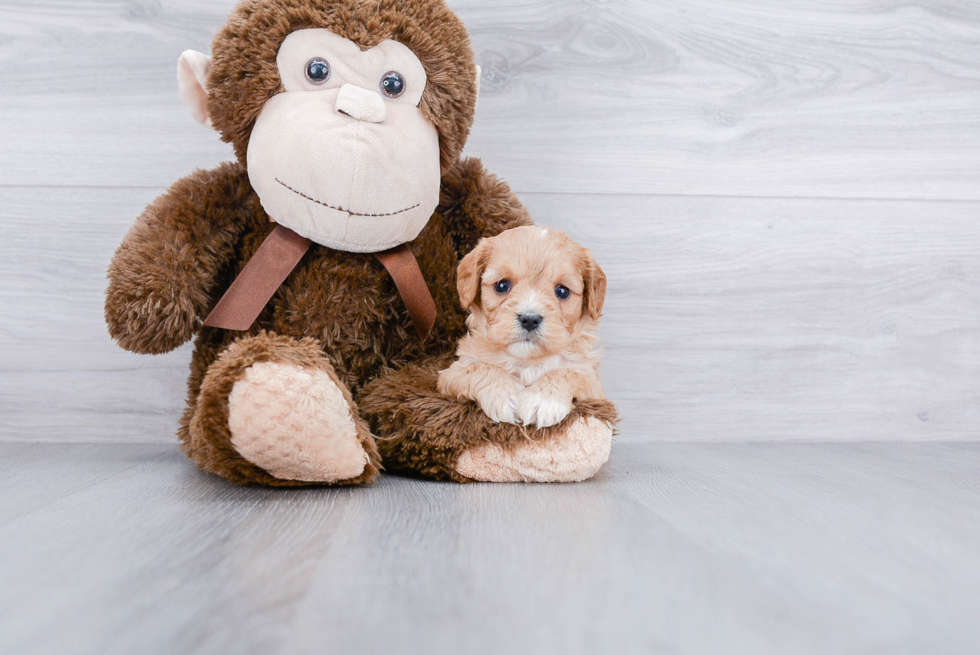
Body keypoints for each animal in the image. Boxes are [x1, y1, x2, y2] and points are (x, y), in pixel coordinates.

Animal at [436, 227, 604, 430]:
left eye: (562, 291)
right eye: (502, 285)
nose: (530, 319)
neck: (527, 361)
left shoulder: (595, 388)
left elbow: (570, 373)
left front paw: (543, 400)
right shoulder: (452, 373)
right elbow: (480, 368)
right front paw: (504, 395)